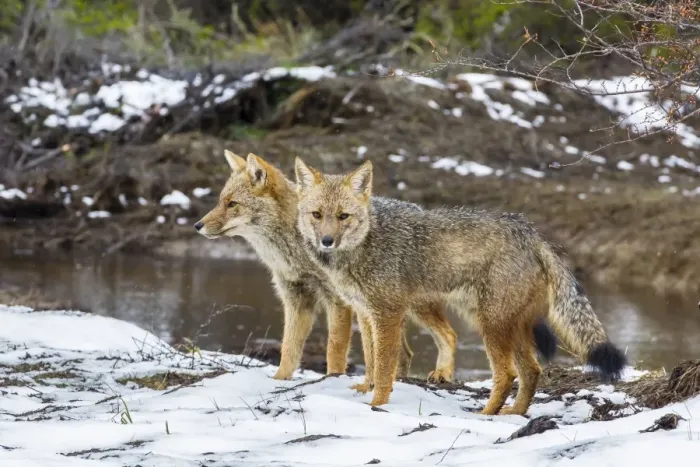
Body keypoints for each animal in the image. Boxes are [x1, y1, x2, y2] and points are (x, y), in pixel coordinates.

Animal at [194, 150, 460, 386]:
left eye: (232, 204)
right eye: (221, 201)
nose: (197, 225)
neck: (294, 252)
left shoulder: (338, 300)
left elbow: (335, 348)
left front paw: (333, 379)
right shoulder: (296, 299)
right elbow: (288, 350)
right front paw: (279, 380)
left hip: (412, 307)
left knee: (449, 335)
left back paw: (441, 374)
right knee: (404, 353)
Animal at [294, 157, 627, 414]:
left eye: (343, 216)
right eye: (317, 215)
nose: (326, 241)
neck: (364, 245)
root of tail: (529, 231)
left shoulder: (388, 314)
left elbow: (386, 367)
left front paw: (377, 404)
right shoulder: (365, 314)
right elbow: (370, 359)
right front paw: (365, 389)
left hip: (489, 325)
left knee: (507, 374)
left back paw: (487, 414)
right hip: (505, 325)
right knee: (531, 371)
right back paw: (514, 413)